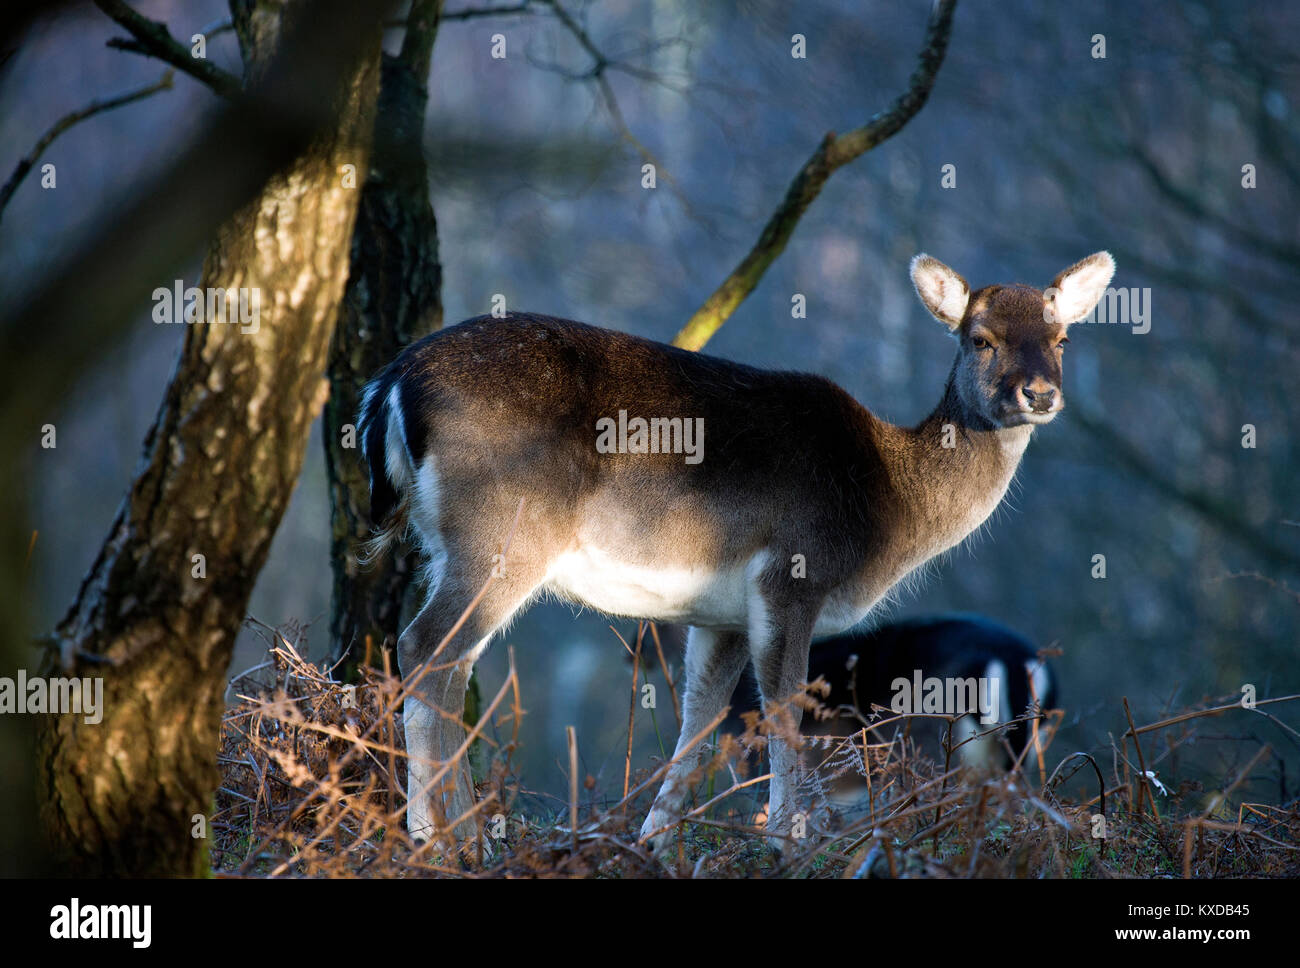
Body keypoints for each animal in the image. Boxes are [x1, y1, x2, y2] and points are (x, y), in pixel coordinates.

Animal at [357, 250, 1115, 855]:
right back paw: (442, 839)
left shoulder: (717, 614)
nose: (1038, 393)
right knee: (427, 648)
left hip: (444, 542)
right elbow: (782, 708)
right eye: (980, 338)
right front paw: (788, 839)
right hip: (500, 532)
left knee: (446, 663)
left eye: (1063, 338)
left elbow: (701, 721)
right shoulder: (792, 574)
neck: (890, 504)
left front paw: (656, 843)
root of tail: (387, 385)